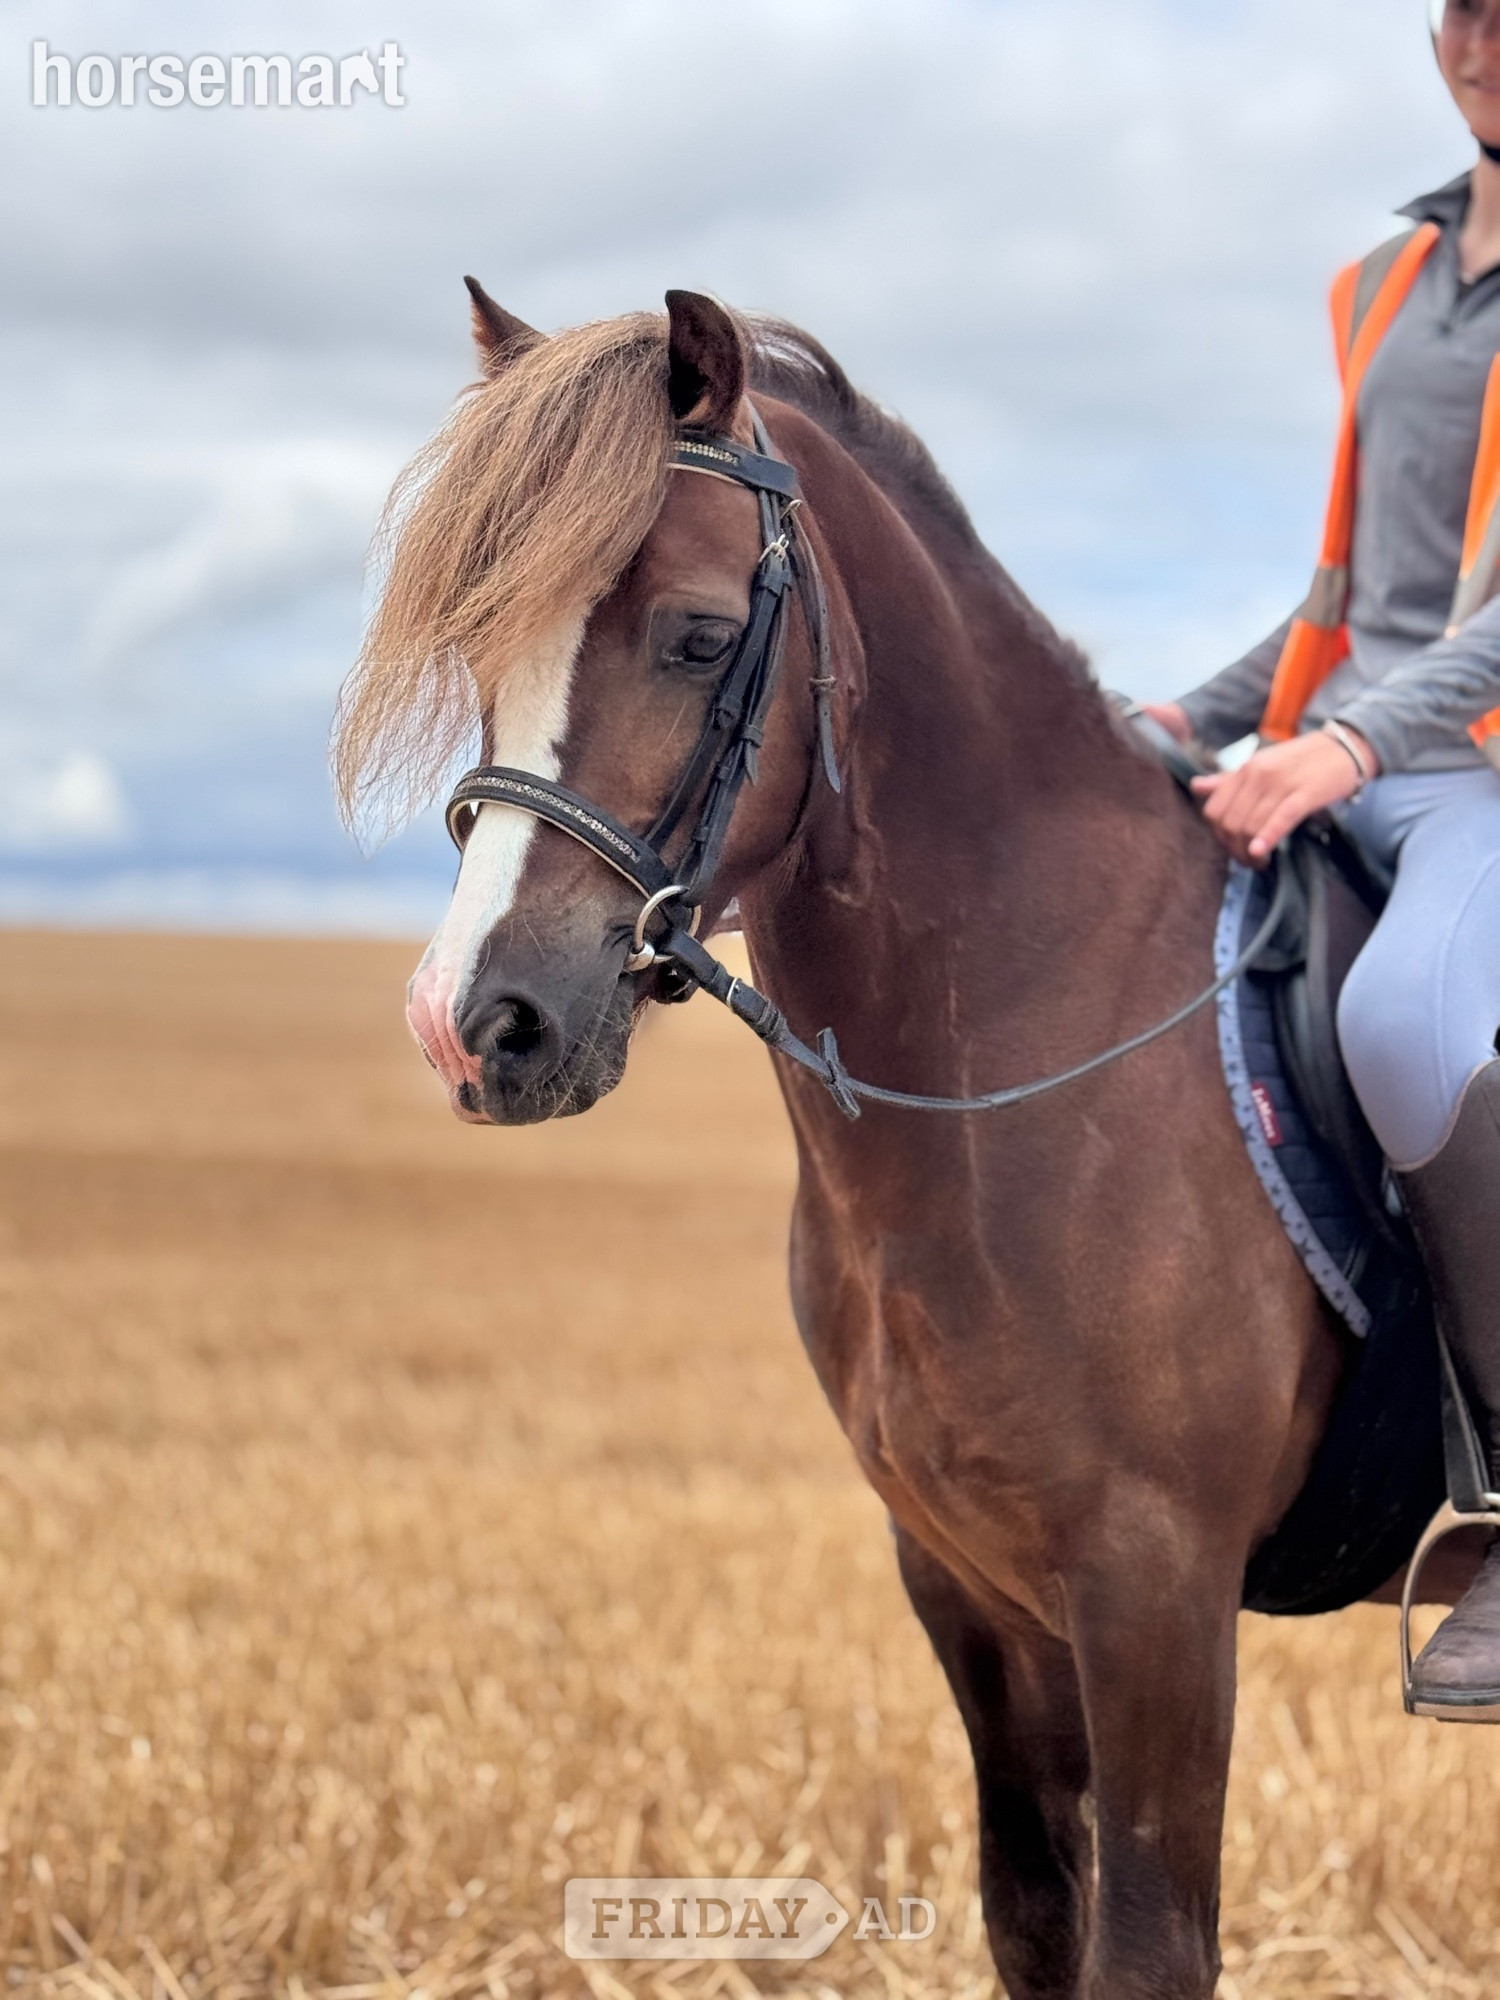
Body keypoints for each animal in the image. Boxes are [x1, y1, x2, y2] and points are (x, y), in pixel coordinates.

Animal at [338, 286, 1412, 2000]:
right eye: (480, 638)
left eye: (701, 636)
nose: (469, 1023)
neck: (1020, 1071)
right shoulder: (974, 1585)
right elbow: (1034, 1920)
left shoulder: (1159, 1591)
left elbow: (1148, 1948)